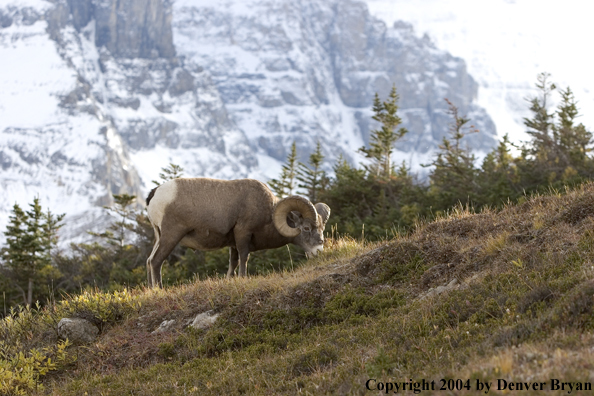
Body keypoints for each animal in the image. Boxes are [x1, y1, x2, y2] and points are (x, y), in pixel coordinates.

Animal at [143, 178, 328, 286]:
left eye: (322, 228)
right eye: (306, 228)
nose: (319, 251)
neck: (267, 211)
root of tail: (155, 193)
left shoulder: (233, 243)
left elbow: (233, 262)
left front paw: (230, 279)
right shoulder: (243, 234)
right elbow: (244, 258)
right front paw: (242, 278)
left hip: (159, 237)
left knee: (149, 260)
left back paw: (152, 290)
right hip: (171, 236)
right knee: (156, 261)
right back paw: (159, 289)